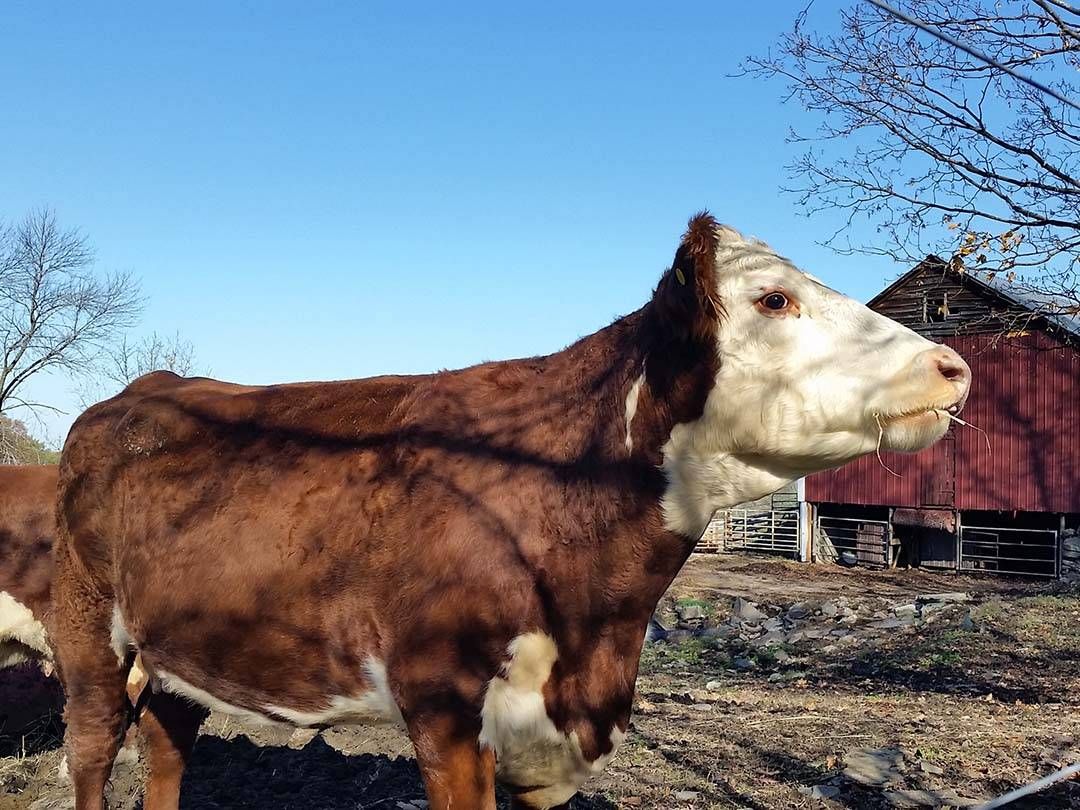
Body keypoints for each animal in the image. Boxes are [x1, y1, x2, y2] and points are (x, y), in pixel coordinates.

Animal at [52, 214, 971, 810]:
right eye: (774, 299)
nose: (953, 366)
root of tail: (146, 387)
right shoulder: (444, 708)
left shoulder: (556, 738)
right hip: (90, 632)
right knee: (93, 750)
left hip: (187, 648)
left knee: (168, 747)